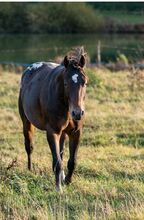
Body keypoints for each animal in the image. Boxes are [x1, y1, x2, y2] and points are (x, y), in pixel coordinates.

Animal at [18, 49, 87, 191]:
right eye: (66, 83)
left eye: (84, 82)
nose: (77, 113)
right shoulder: (52, 132)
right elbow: (57, 162)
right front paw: (58, 188)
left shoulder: (76, 133)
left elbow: (72, 161)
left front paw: (67, 182)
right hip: (26, 123)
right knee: (29, 147)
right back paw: (30, 170)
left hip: (63, 133)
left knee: (61, 152)